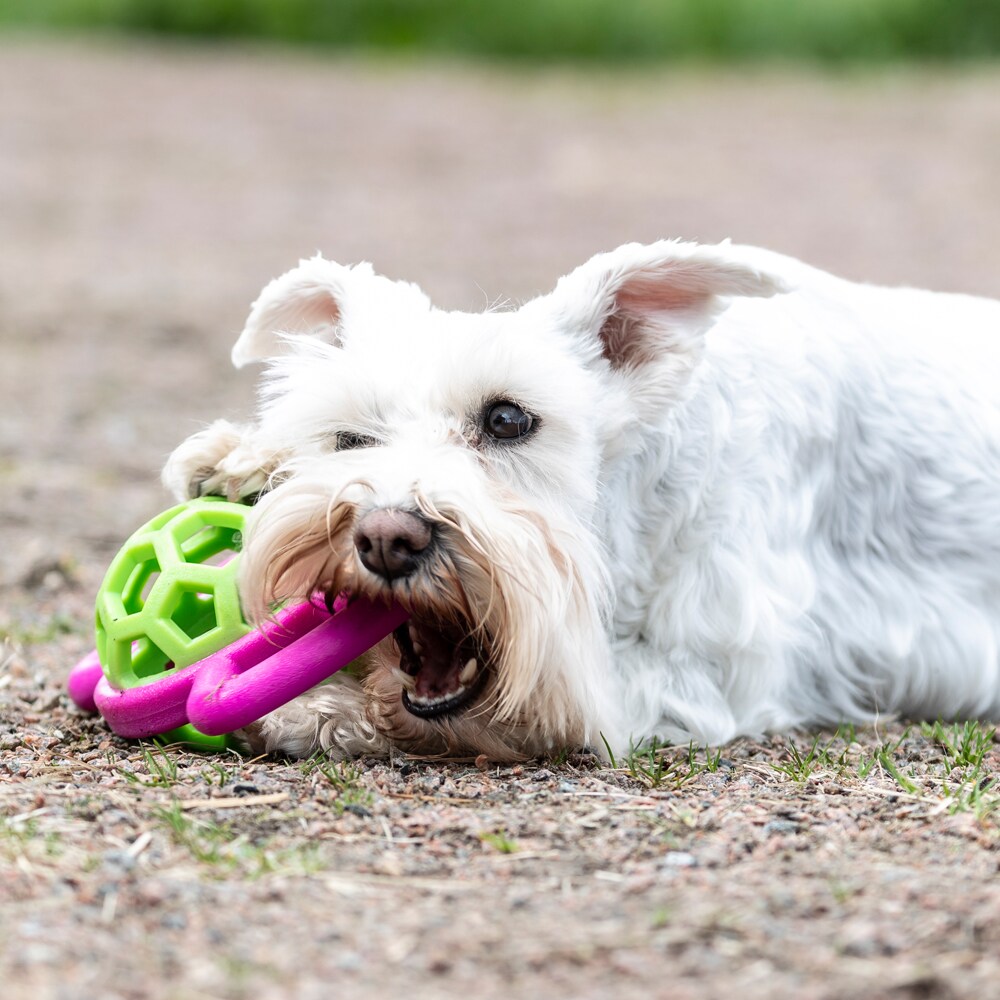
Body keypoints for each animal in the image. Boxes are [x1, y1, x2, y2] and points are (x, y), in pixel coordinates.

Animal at [160, 242, 1000, 756]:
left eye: (509, 419)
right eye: (350, 438)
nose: (385, 537)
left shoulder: (713, 668)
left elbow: (555, 692)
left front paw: (314, 710)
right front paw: (241, 459)